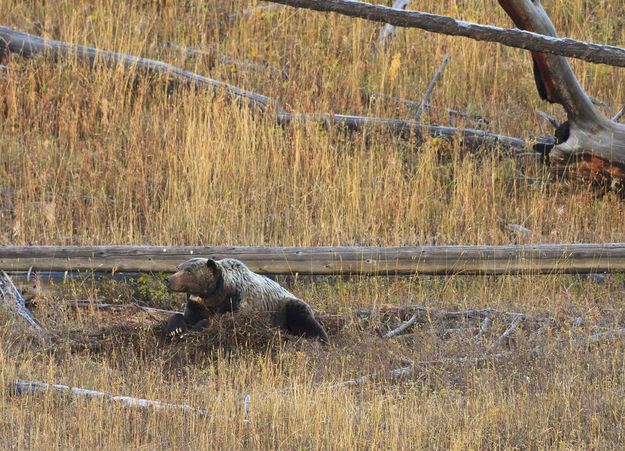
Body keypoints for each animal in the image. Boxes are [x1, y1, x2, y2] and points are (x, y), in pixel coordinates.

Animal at [161, 258, 330, 342]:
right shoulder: (196, 304)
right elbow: (183, 316)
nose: (168, 280)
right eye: (179, 268)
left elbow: (224, 319)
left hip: (287, 306)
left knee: (305, 319)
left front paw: (196, 327)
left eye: (189, 271)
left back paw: (319, 338)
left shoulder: (237, 300)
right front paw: (175, 329)